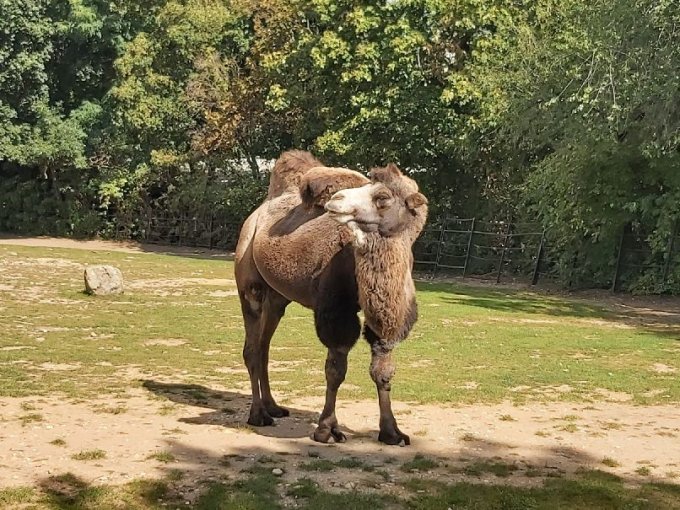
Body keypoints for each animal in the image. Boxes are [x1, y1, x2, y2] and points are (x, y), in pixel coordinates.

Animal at [234, 149, 424, 444]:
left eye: (382, 197)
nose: (337, 200)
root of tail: (255, 216)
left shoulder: (387, 316)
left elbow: (382, 371)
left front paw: (392, 432)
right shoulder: (336, 310)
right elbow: (335, 370)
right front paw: (327, 429)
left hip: (277, 298)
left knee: (265, 344)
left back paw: (274, 407)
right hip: (249, 283)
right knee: (252, 347)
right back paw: (259, 415)